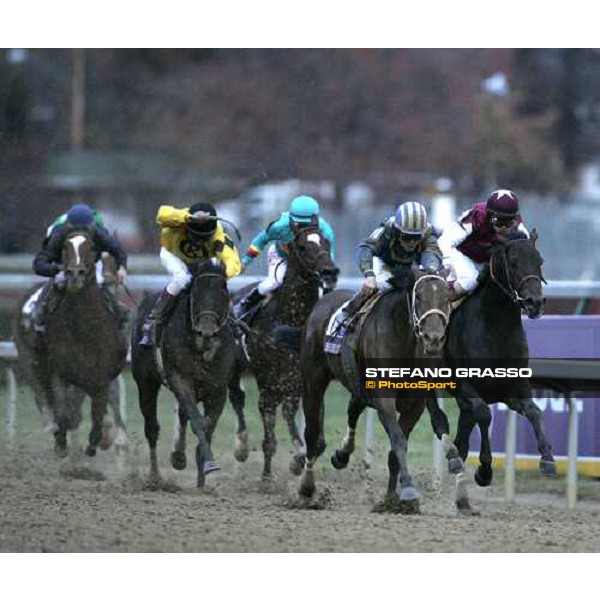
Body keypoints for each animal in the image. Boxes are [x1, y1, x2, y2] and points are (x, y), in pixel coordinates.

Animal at [13, 230, 127, 454]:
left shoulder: (100, 376)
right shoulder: (61, 374)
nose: (75, 274)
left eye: (92, 247)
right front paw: (61, 442)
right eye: (65, 247)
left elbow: (99, 411)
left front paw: (102, 439)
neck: (84, 328)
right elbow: (64, 412)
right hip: (30, 361)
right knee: (43, 396)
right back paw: (52, 426)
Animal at [131, 258, 237, 488]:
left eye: (224, 288)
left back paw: (179, 457)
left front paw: (202, 478)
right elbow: (197, 422)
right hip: (145, 382)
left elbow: (207, 426)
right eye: (196, 289)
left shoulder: (218, 388)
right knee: (152, 428)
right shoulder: (180, 380)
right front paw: (208, 465)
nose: (207, 331)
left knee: (181, 414)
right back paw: (155, 477)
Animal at [229, 224, 338, 478]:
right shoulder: (267, 382)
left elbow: (317, 440)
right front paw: (268, 475)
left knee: (287, 410)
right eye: (303, 246)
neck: (291, 320)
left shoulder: (305, 380)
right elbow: (269, 433)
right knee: (237, 396)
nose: (330, 272)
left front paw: (299, 459)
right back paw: (241, 447)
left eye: (327, 243)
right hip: (235, 366)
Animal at [292, 270, 472, 510]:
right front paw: (408, 489)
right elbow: (398, 440)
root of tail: (323, 300)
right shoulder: (384, 399)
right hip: (313, 380)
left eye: (446, 298)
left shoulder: (415, 404)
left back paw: (341, 454)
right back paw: (306, 488)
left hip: (357, 386)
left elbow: (397, 447)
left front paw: (392, 499)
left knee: (352, 411)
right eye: (418, 298)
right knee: (312, 435)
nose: (433, 338)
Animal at [448, 230, 556, 488]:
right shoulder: (464, 385)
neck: (496, 330)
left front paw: (547, 459)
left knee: (461, 440)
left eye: (540, 261)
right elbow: (484, 414)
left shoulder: (512, 387)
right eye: (514, 263)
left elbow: (534, 411)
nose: (535, 303)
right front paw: (484, 470)